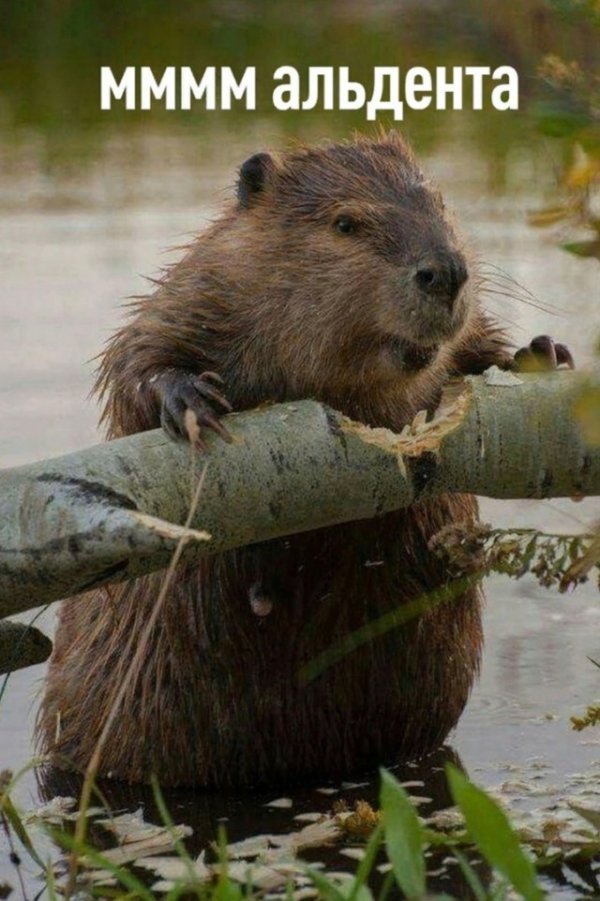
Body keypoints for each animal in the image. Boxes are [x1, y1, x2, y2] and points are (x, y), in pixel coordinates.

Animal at [36, 130, 572, 784]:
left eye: (441, 202)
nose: (445, 272)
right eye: (345, 223)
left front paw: (540, 352)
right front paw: (190, 399)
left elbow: (475, 346)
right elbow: (136, 359)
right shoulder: (201, 288)